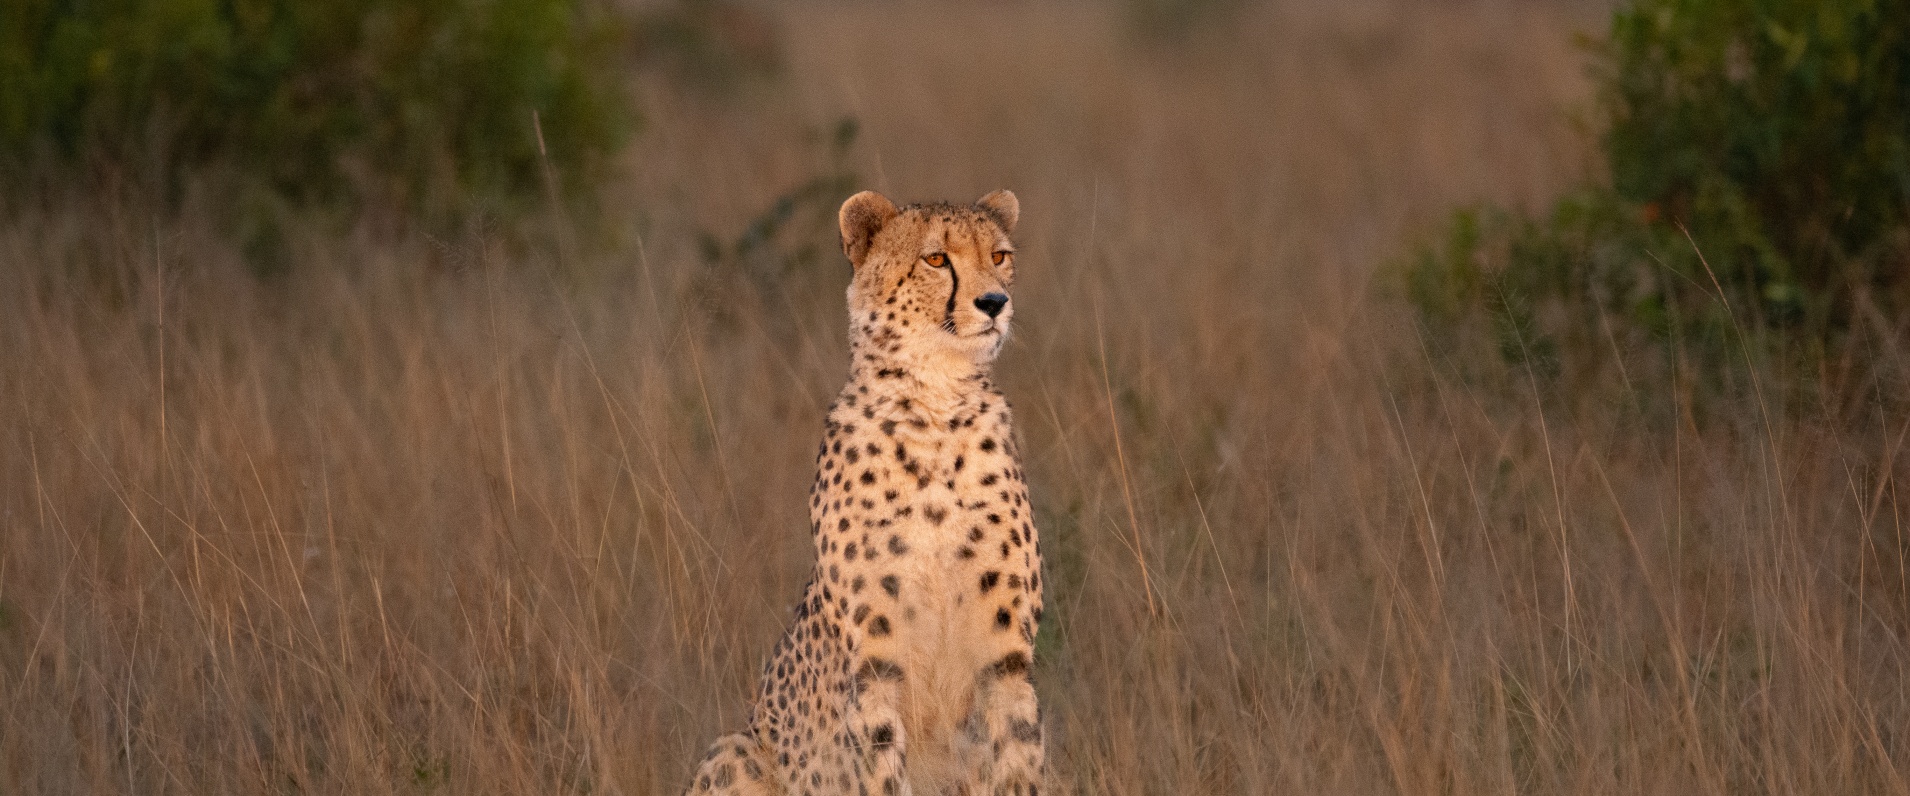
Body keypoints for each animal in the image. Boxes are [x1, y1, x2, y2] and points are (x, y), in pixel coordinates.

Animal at [682, 189, 1045, 796]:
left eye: (998, 255)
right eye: (936, 259)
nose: (995, 302)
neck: (936, 408)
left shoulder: (1007, 660)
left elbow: (1020, 763)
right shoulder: (873, 668)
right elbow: (877, 770)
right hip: (734, 749)